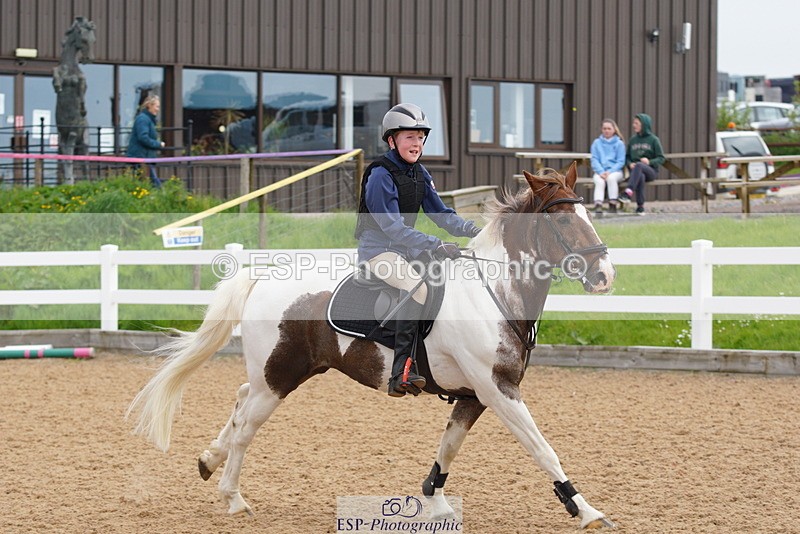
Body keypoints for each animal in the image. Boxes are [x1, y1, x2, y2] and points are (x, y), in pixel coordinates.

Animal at [127, 163, 617, 529]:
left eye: (588, 216)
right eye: (561, 219)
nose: (604, 276)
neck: (494, 291)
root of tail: (264, 276)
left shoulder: (474, 395)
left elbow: (449, 446)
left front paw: (435, 502)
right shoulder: (498, 389)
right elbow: (543, 449)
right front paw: (585, 509)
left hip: (275, 373)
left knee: (240, 398)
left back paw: (210, 459)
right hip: (279, 378)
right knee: (247, 425)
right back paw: (232, 497)